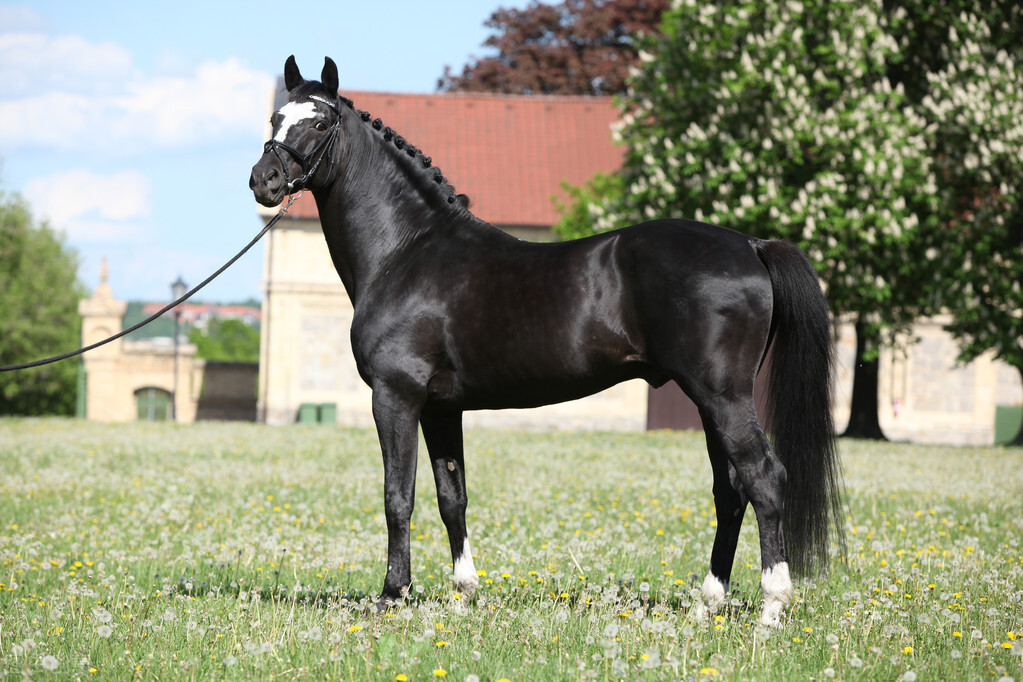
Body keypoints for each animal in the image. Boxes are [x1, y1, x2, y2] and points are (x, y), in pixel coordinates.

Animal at [249, 56, 844, 627]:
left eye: (320, 122)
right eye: (276, 117)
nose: (264, 180)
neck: (408, 250)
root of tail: (752, 244)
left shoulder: (395, 397)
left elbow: (399, 496)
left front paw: (392, 595)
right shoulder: (441, 408)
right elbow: (451, 497)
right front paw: (463, 595)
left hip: (723, 397)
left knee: (763, 478)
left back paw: (771, 607)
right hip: (710, 401)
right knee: (730, 490)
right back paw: (708, 602)